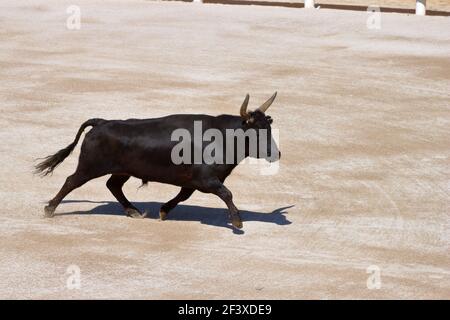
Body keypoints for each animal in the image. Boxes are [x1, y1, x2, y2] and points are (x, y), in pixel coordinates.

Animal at [36, 93, 282, 230]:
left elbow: (183, 196)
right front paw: (238, 221)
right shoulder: (207, 180)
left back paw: (133, 211)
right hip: (90, 167)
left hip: (122, 170)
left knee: (113, 185)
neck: (224, 137)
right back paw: (49, 209)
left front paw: (163, 211)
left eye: (269, 129)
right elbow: (227, 193)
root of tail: (102, 122)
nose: (276, 154)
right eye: (255, 132)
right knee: (71, 181)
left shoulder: (194, 182)